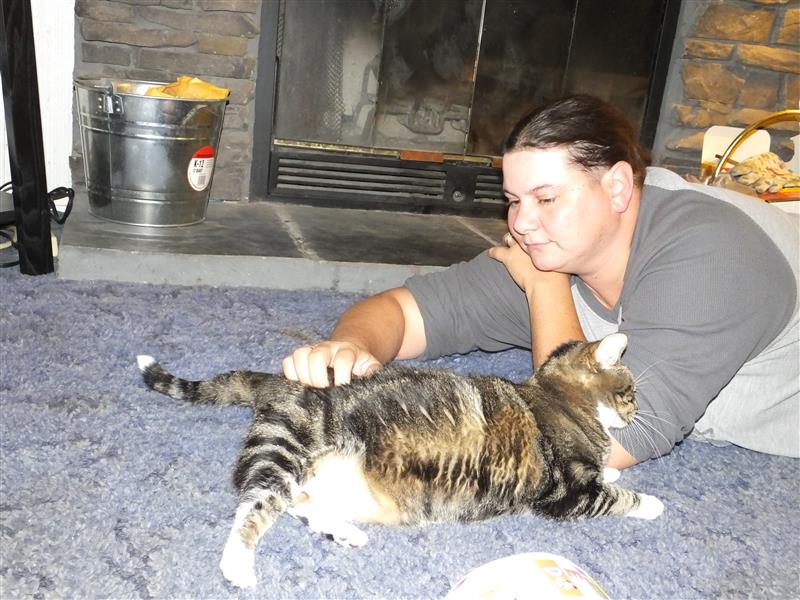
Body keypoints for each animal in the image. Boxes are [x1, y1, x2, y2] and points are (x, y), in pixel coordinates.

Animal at [137, 332, 663, 589]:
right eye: (630, 390)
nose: (639, 409)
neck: (552, 397)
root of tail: (279, 382)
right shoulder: (566, 492)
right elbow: (616, 496)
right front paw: (651, 502)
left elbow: (607, 475)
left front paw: (614, 464)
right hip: (283, 448)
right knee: (256, 503)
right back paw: (238, 566)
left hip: (310, 473)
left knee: (297, 500)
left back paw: (342, 531)